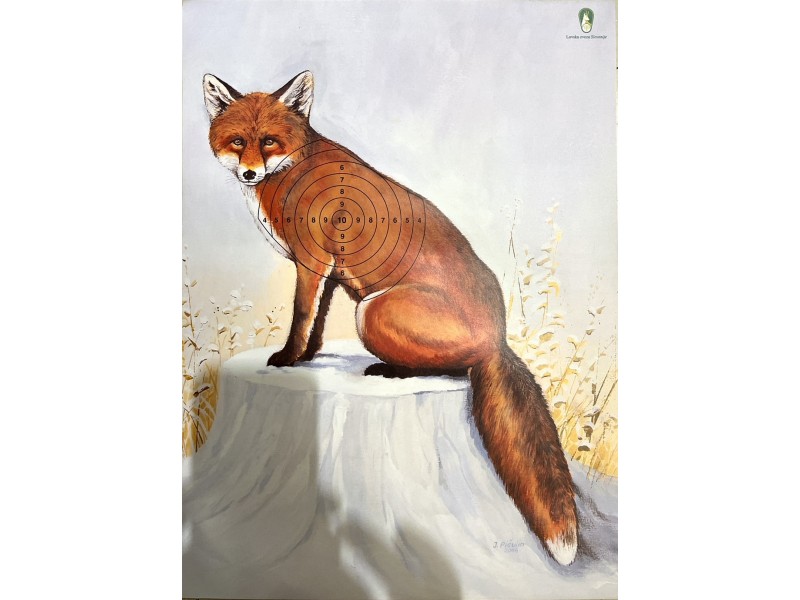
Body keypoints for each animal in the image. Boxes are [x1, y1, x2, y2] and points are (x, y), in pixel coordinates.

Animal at [203, 71, 579, 565]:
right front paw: (309, 355)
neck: (291, 169)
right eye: (238, 141)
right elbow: (317, 320)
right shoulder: (328, 270)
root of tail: (499, 338)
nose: (248, 172)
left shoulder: (312, 260)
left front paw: (287, 357)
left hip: (372, 311)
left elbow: (301, 313)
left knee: (452, 368)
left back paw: (390, 369)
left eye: (268, 141)